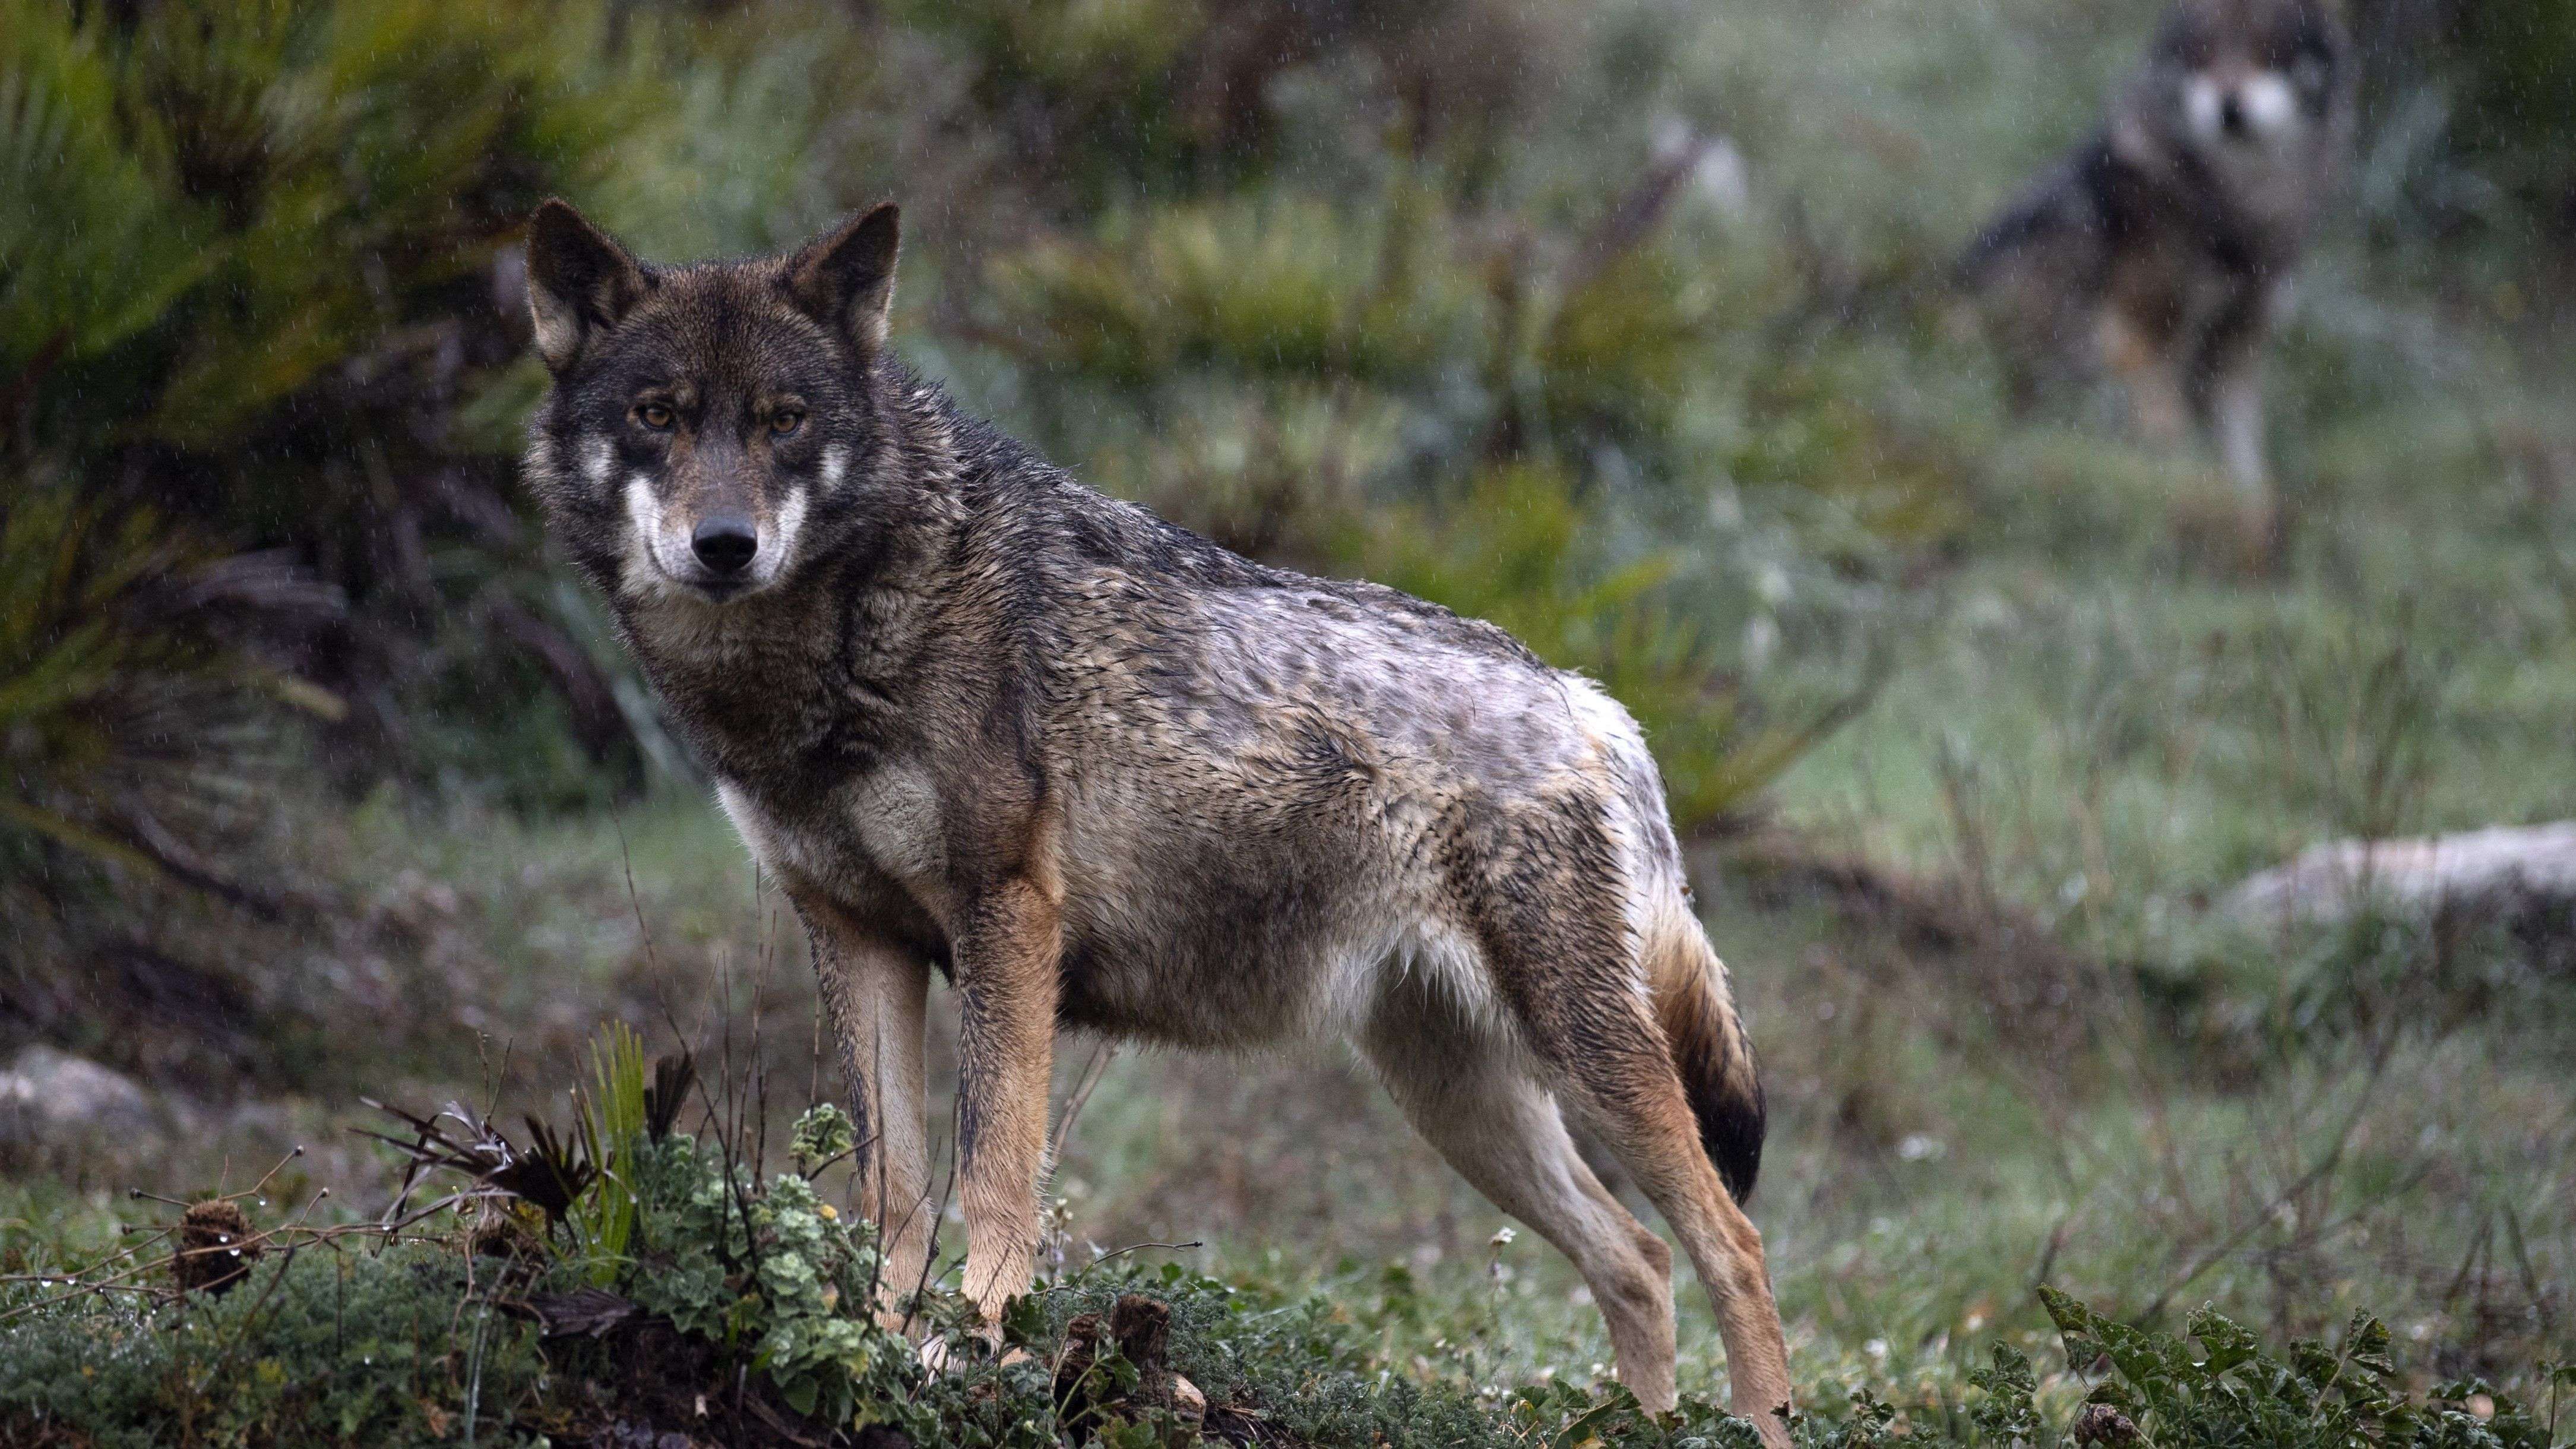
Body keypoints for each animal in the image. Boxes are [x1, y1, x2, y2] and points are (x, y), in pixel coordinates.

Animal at [517, 198, 1793, 1439]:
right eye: (657, 416)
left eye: (782, 421)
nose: (724, 546)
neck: (836, 643)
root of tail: (1589, 700)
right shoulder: (853, 932)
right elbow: (892, 1190)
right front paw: (878, 1347)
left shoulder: (1005, 919)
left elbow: (994, 1170)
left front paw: (979, 1350)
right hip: (1456, 1100)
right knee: (1637, 1260)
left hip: (1583, 1061)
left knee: (1730, 1247)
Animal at [1959, 0, 2354, 498]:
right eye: (2204, 51)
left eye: (2267, 50)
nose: (2230, 109)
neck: (2239, 204)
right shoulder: (2143, 327)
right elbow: (2167, 428)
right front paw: (2177, 480)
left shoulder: (2240, 339)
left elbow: (2244, 452)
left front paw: (2247, 497)